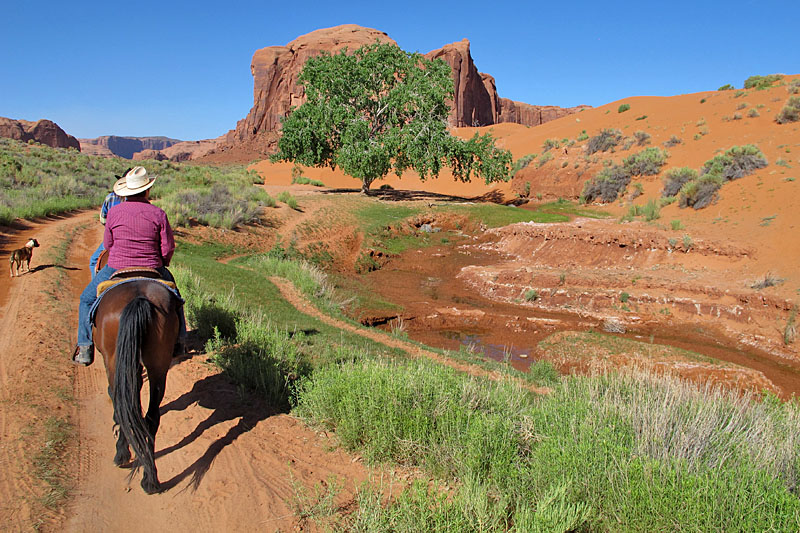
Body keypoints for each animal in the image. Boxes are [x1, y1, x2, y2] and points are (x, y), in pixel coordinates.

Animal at [93, 280, 180, 492]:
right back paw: (150, 478)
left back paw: (122, 454)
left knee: (122, 402)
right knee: (151, 418)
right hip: (158, 364)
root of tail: (139, 297)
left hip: (114, 359)